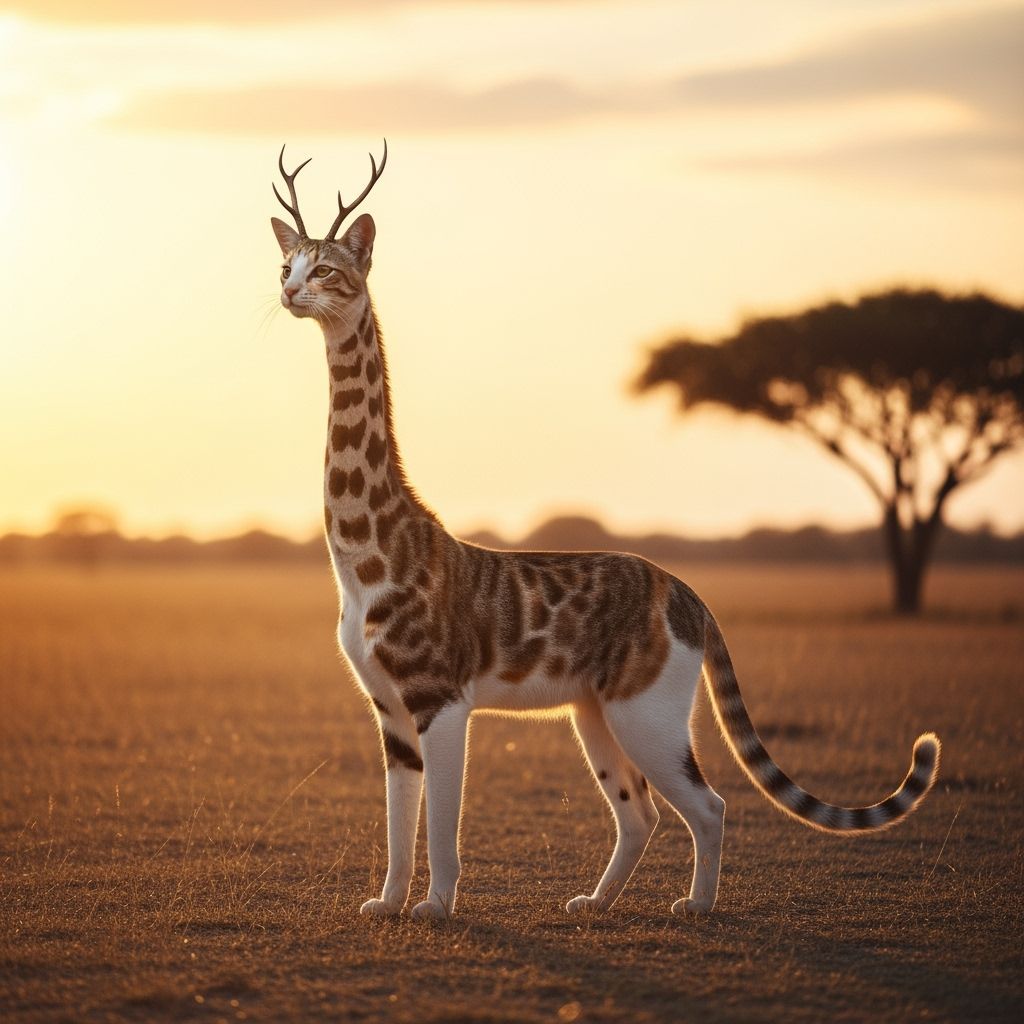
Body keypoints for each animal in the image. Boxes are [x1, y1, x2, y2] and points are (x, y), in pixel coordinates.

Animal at [270, 144, 941, 921]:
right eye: (284, 265)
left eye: (326, 269)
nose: (290, 294)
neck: (368, 555)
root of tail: (690, 597)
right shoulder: (389, 709)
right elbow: (398, 817)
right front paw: (386, 905)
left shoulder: (443, 700)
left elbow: (441, 816)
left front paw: (435, 909)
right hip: (592, 712)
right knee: (640, 812)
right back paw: (595, 902)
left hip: (644, 712)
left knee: (708, 805)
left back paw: (696, 907)